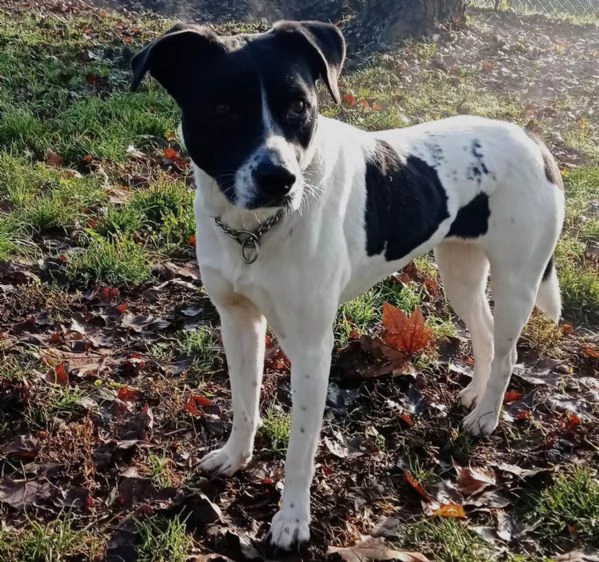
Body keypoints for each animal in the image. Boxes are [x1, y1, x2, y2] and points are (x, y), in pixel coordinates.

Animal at [129, 20, 564, 548]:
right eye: (222, 107)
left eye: (299, 105)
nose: (280, 179)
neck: (254, 230)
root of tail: (533, 139)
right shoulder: (237, 321)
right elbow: (243, 402)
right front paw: (236, 457)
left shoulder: (313, 348)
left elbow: (300, 448)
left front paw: (292, 520)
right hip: (459, 270)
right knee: (483, 334)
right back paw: (474, 397)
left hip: (518, 280)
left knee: (508, 351)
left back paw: (486, 417)